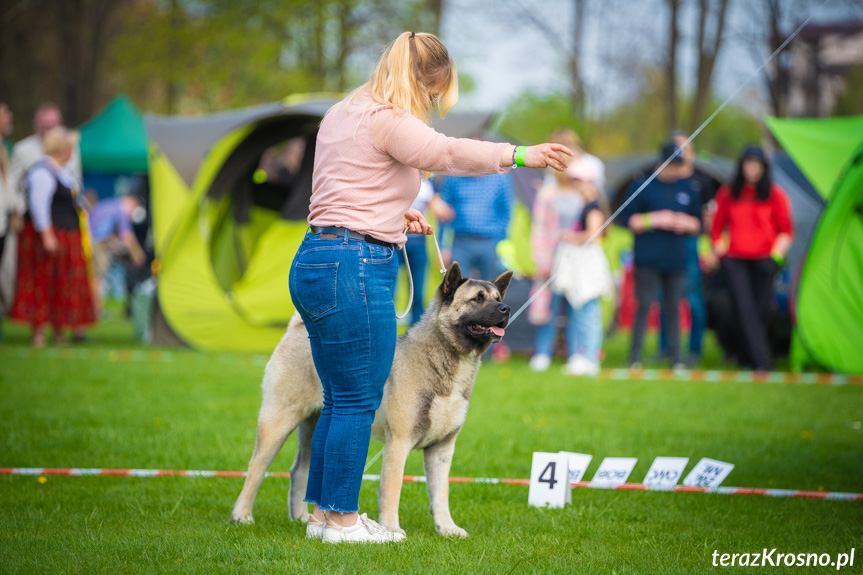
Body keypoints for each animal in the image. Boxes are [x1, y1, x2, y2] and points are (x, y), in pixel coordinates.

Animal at [231, 264, 512, 536]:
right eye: (477, 298)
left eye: (498, 298)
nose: (506, 308)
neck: (442, 356)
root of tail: (298, 330)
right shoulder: (398, 444)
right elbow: (392, 490)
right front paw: (391, 529)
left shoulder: (442, 449)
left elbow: (441, 494)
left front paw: (447, 528)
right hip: (278, 421)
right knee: (256, 468)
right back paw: (242, 515)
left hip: (316, 426)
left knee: (300, 470)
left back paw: (302, 517)